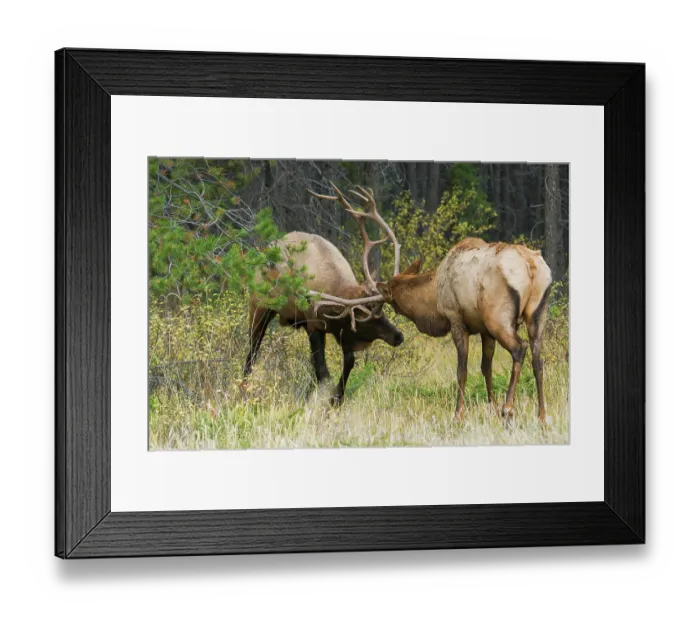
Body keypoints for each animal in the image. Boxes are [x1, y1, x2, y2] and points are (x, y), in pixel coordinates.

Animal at [242, 184, 404, 406]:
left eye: (384, 312)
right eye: (365, 318)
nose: (398, 336)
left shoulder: (341, 331)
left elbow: (347, 364)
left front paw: (337, 398)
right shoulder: (314, 323)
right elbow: (323, 373)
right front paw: (326, 400)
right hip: (259, 306)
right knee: (251, 351)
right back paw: (243, 388)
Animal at [314, 186, 553, 422]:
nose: (397, 336)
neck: (433, 297)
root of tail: (530, 266)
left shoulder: (455, 317)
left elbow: (462, 369)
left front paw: (459, 414)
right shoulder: (484, 330)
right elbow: (486, 368)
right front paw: (492, 409)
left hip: (498, 317)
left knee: (519, 349)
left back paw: (509, 408)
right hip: (538, 314)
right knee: (538, 360)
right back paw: (541, 416)